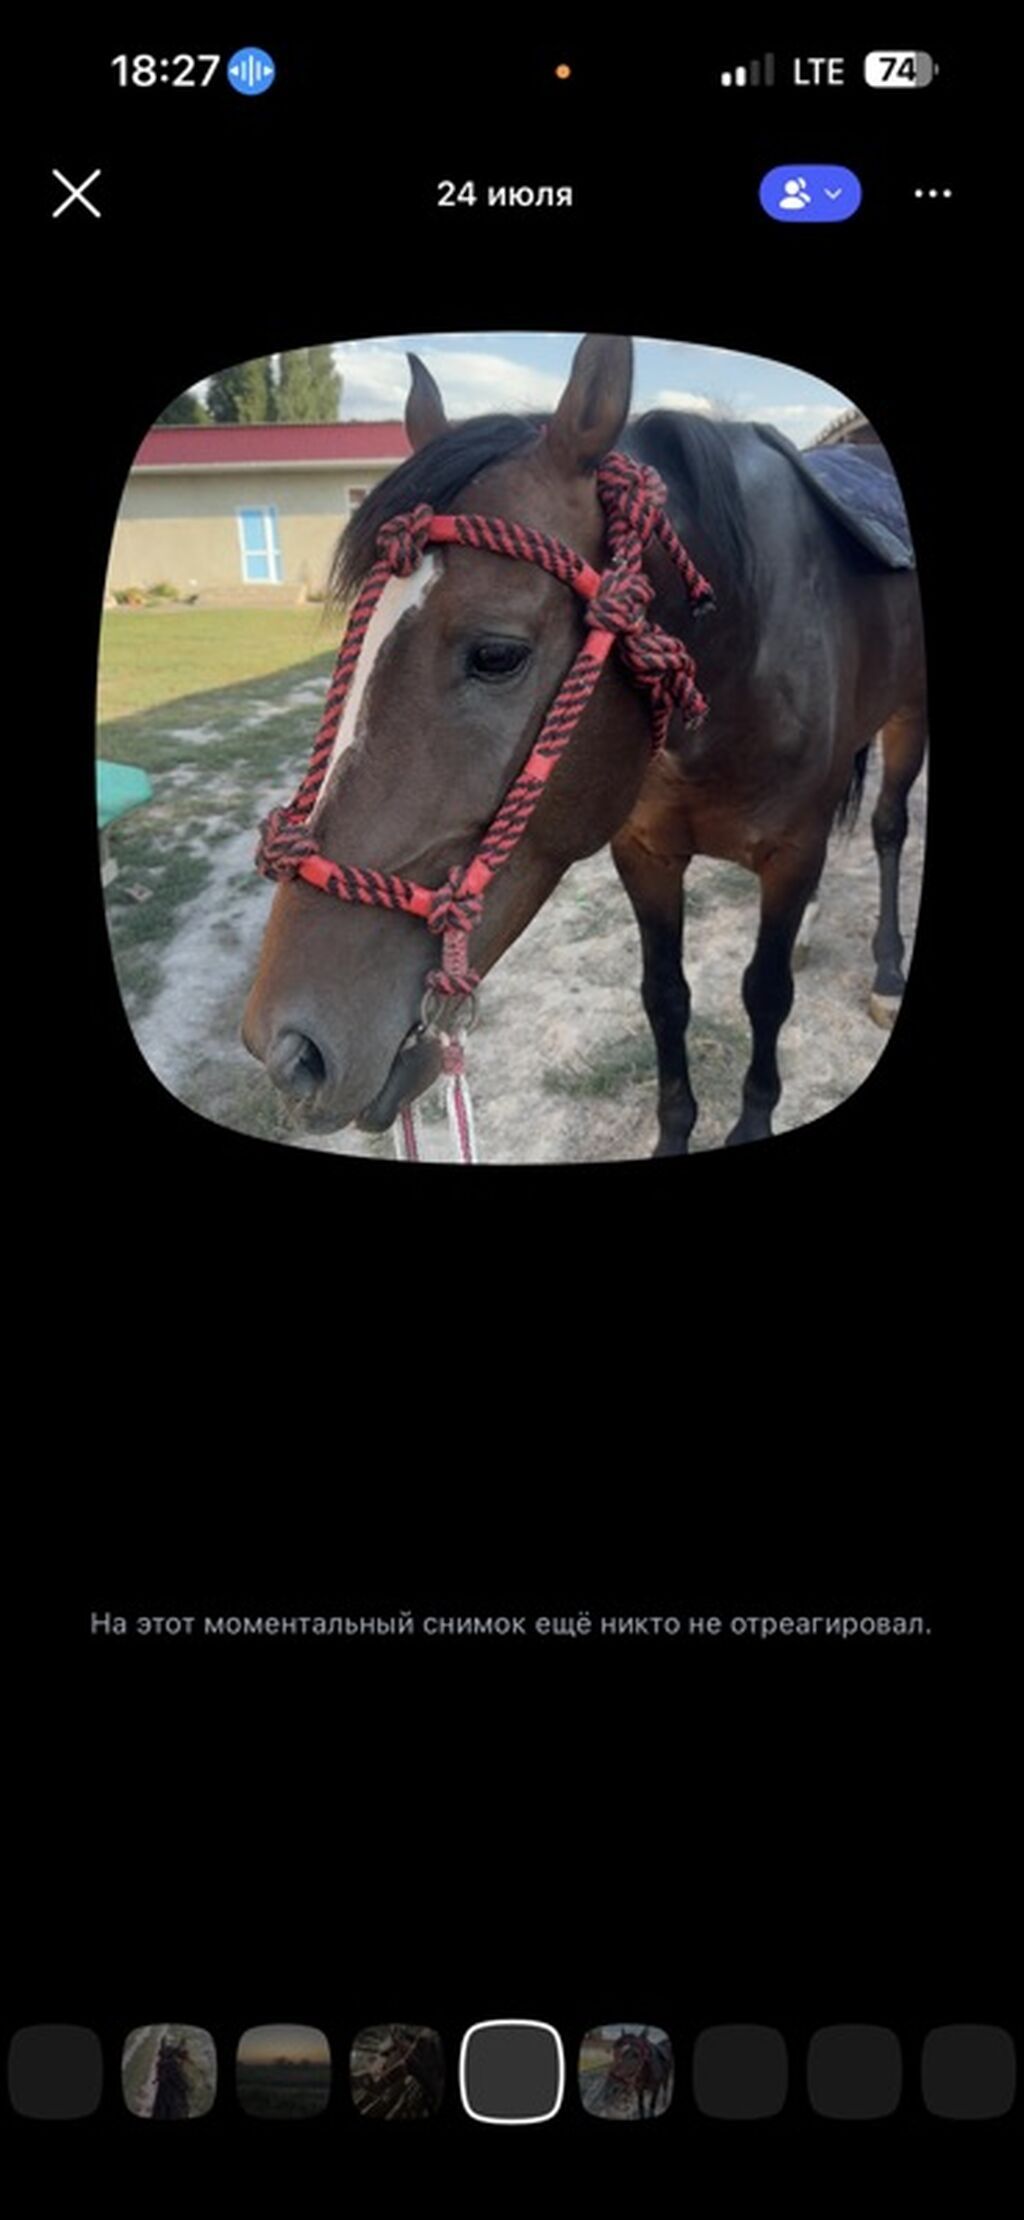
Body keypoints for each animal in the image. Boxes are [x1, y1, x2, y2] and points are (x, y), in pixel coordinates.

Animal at [243, 333, 926, 1154]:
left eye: (496, 654)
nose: (287, 1050)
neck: (747, 642)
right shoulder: (644, 853)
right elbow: (664, 996)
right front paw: (674, 1130)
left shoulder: (791, 852)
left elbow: (765, 993)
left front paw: (754, 1116)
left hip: (909, 716)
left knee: (888, 827)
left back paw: (886, 972)